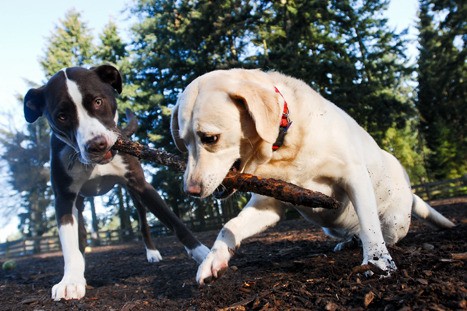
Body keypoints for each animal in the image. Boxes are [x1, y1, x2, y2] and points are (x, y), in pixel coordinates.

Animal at [23, 64, 210, 302]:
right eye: (62, 116)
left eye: (98, 101)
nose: (97, 145)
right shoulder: (64, 198)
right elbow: (69, 244)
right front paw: (71, 280)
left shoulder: (142, 186)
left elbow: (175, 222)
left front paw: (205, 255)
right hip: (81, 203)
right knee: (80, 233)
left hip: (135, 196)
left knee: (143, 223)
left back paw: (152, 252)